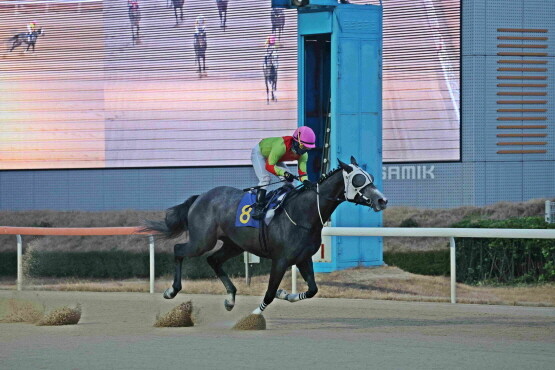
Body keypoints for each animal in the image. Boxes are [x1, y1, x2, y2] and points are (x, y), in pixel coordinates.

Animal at [143, 158, 386, 316]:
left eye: (371, 177)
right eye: (357, 179)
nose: (382, 200)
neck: (303, 213)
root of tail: (200, 197)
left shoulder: (303, 258)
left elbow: (312, 290)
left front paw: (285, 293)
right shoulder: (280, 260)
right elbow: (268, 294)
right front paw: (255, 315)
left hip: (234, 244)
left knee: (213, 260)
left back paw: (230, 298)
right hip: (202, 241)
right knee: (179, 250)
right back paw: (171, 290)